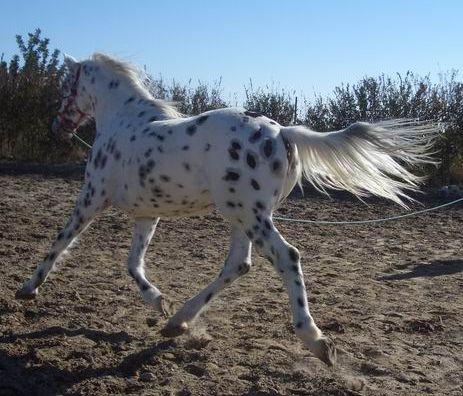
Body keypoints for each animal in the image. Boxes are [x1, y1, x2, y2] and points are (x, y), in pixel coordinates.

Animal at [13, 53, 436, 368]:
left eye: (65, 87)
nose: (57, 127)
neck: (122, 122)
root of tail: (282, 132)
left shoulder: (92, 197)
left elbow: (59, 243)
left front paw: (27, 289)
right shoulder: (147, 214)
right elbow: (133, 264)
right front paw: (158, 300)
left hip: (248, 215)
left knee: (287, 257)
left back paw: (316, 341)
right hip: (241, 215)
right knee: (239, 264)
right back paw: (177, 322)